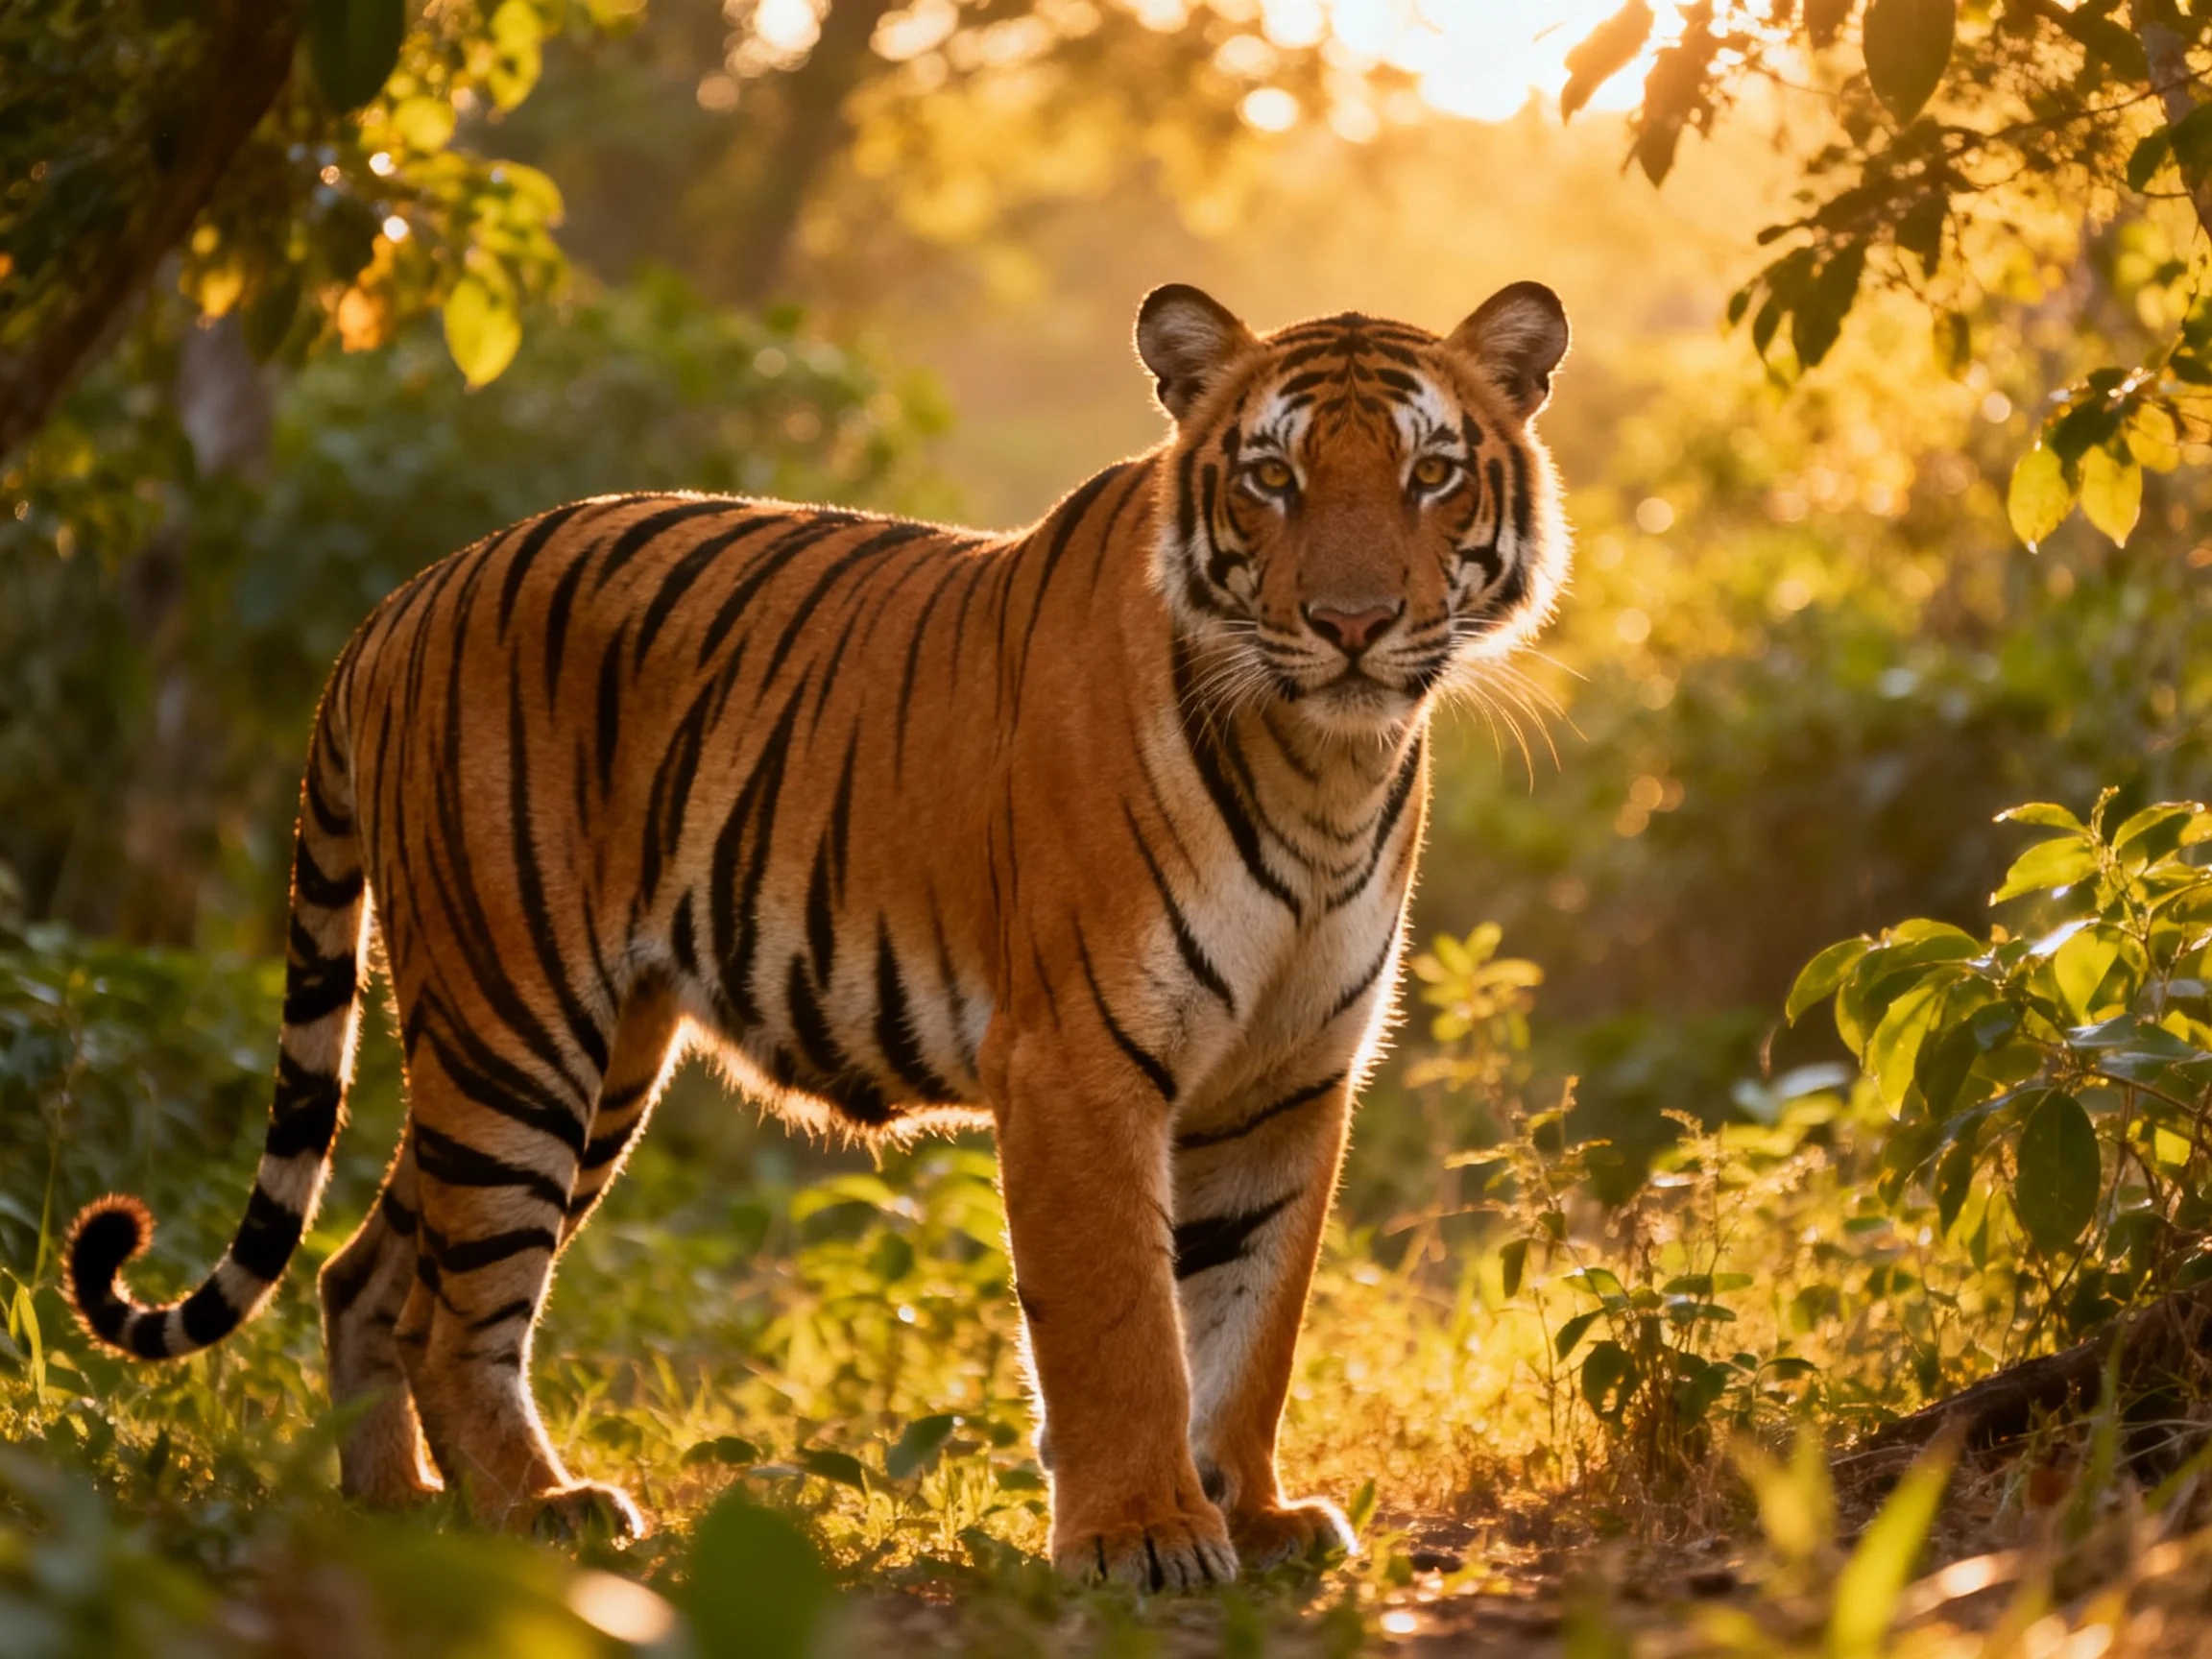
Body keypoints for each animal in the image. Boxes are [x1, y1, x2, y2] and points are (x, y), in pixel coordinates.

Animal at [63, 280, 1570, 1589]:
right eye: (1272, 479)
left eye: (1432, 475)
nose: (1354, 623)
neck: (1327, 764)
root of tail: (393, 605)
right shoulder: (1081, 1064)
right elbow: (1126, 1329)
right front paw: (1142, 1537)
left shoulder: (1286, 1079)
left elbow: (1252, 1323)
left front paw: (1250, 1518)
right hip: (515, 1026)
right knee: (453, 1307)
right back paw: (538, 1512)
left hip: (596, 1060)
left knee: (364, 1268)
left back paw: (394, 1512)